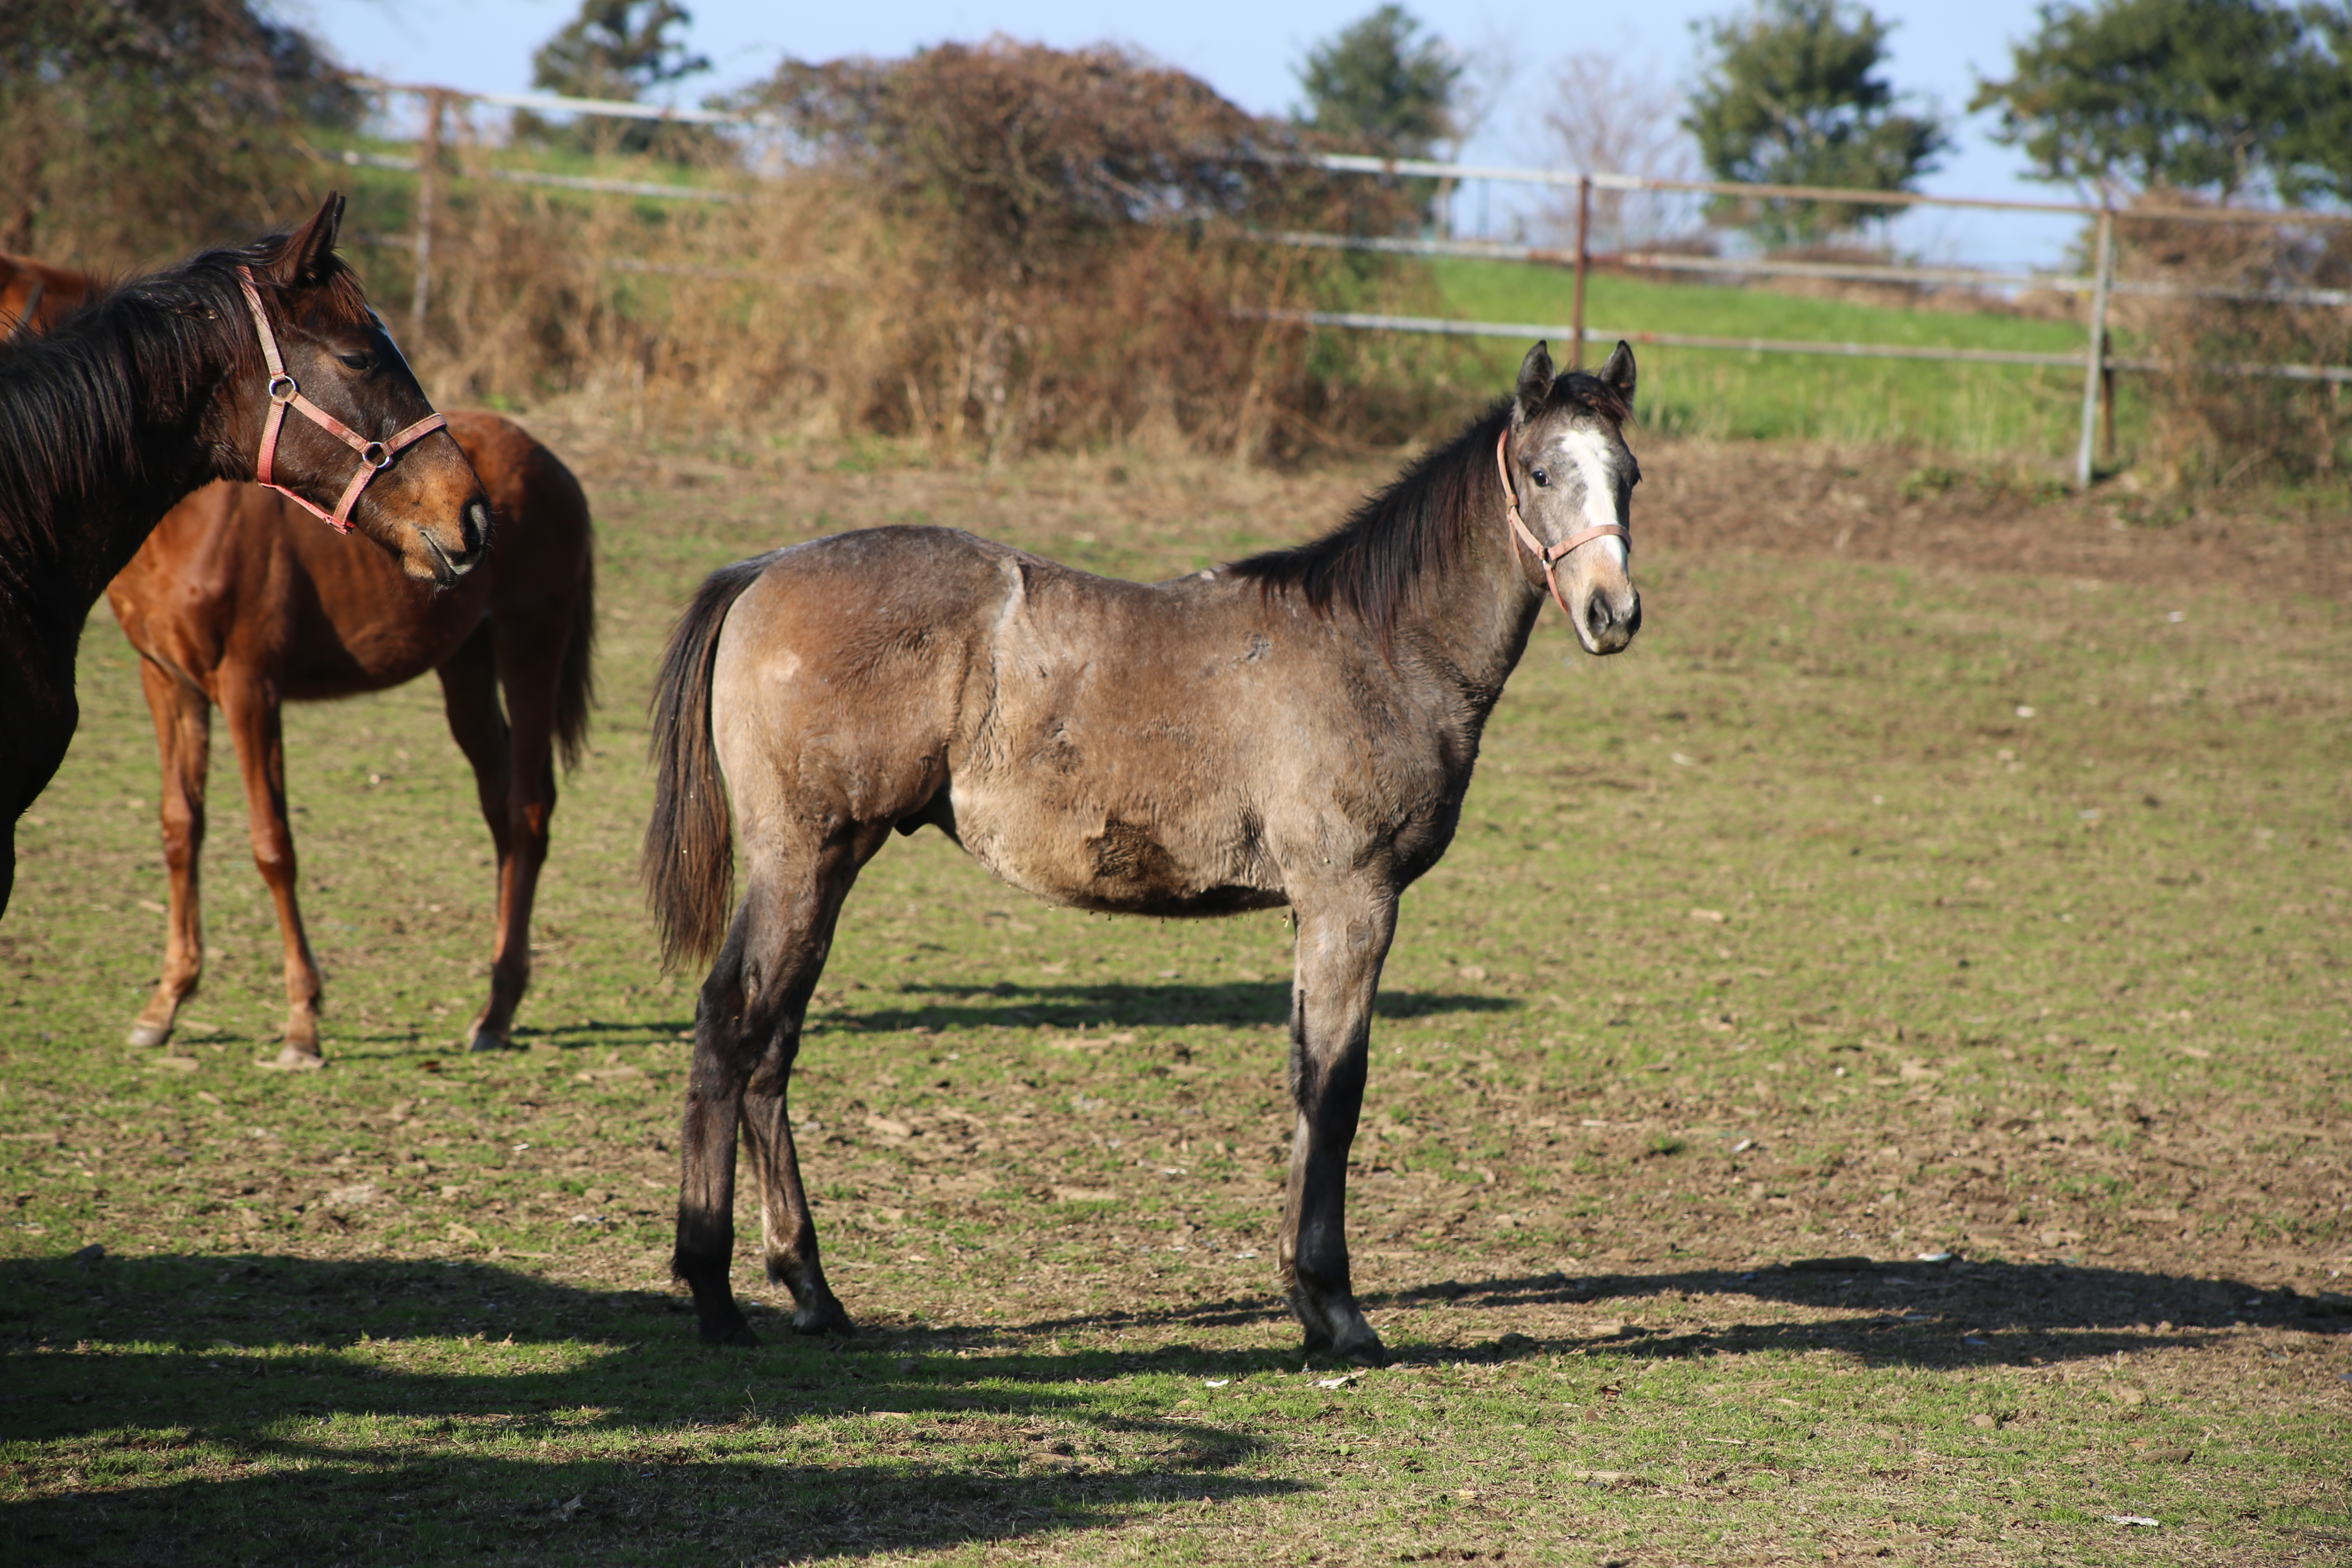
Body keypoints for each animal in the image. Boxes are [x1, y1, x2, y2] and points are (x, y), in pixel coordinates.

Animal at [110, 411, 597, 1067]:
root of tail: (549, 462)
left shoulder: (249, 685)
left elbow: (273, 846)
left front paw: (302, 1024)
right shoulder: (167, 681)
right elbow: (180, 831)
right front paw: (165, 1003)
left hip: (530, 647)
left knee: (528, 812)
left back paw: (498, 1010)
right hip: (466, 663)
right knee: (501, 813)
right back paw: (497, 1005)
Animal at [635, 341, 1646, 1363]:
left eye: (1629, 477)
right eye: (1541, 473)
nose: (1614, 614)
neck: (1380, 646)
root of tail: (763, 570)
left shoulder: (1314, 911)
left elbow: (1303, 1081)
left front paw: (1306, 1300)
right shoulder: (1351, 900)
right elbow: (1336, 1091)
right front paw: (1338, 1307)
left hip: (826, 868)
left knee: (773, 1045)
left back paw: (810, 1287)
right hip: (802, 862)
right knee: (731, 1025)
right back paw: (715, 1293)